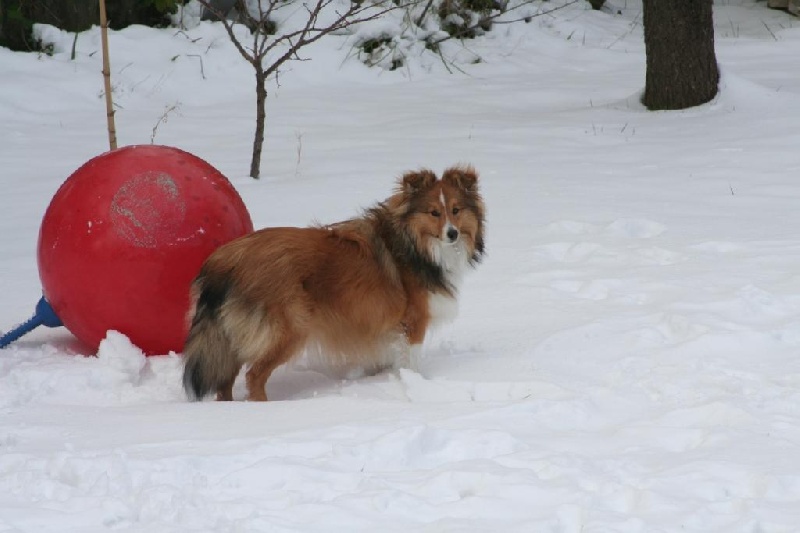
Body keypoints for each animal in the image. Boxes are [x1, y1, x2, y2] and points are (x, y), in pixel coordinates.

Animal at [182, 164, 484, 402]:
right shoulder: (412, 323)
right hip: (289, 329)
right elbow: (410, 361)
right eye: (433, 213)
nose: (453, 234)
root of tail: (226, 259)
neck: (413, 244)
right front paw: (416, 385)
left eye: (456, 210)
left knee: (224, 380)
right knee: (254, 375)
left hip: (232, 335)